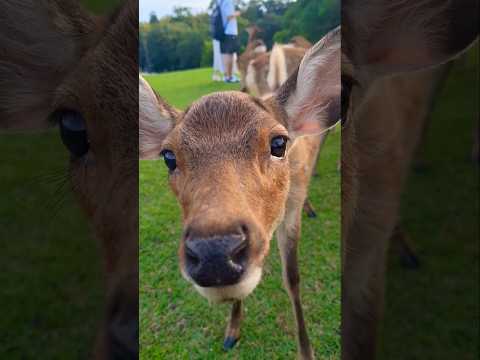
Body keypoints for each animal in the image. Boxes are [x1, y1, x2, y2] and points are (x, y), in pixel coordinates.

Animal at [139, 26, 342, 358]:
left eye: (278, 143)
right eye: (168, 156)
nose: (214, 253)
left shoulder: (290, 212)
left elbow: (293, 278)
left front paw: (306, 350)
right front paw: (232, 330)